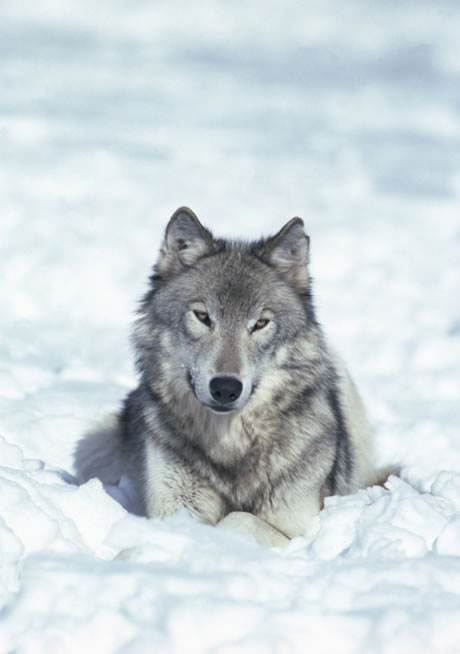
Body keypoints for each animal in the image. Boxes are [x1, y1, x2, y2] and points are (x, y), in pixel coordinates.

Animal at [75, 207, 390, 547]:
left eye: (260, 323)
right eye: (203, 317)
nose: (225, 388)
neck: (231, 444)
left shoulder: (296, 529)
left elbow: (236, 519)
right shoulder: (175, 507)